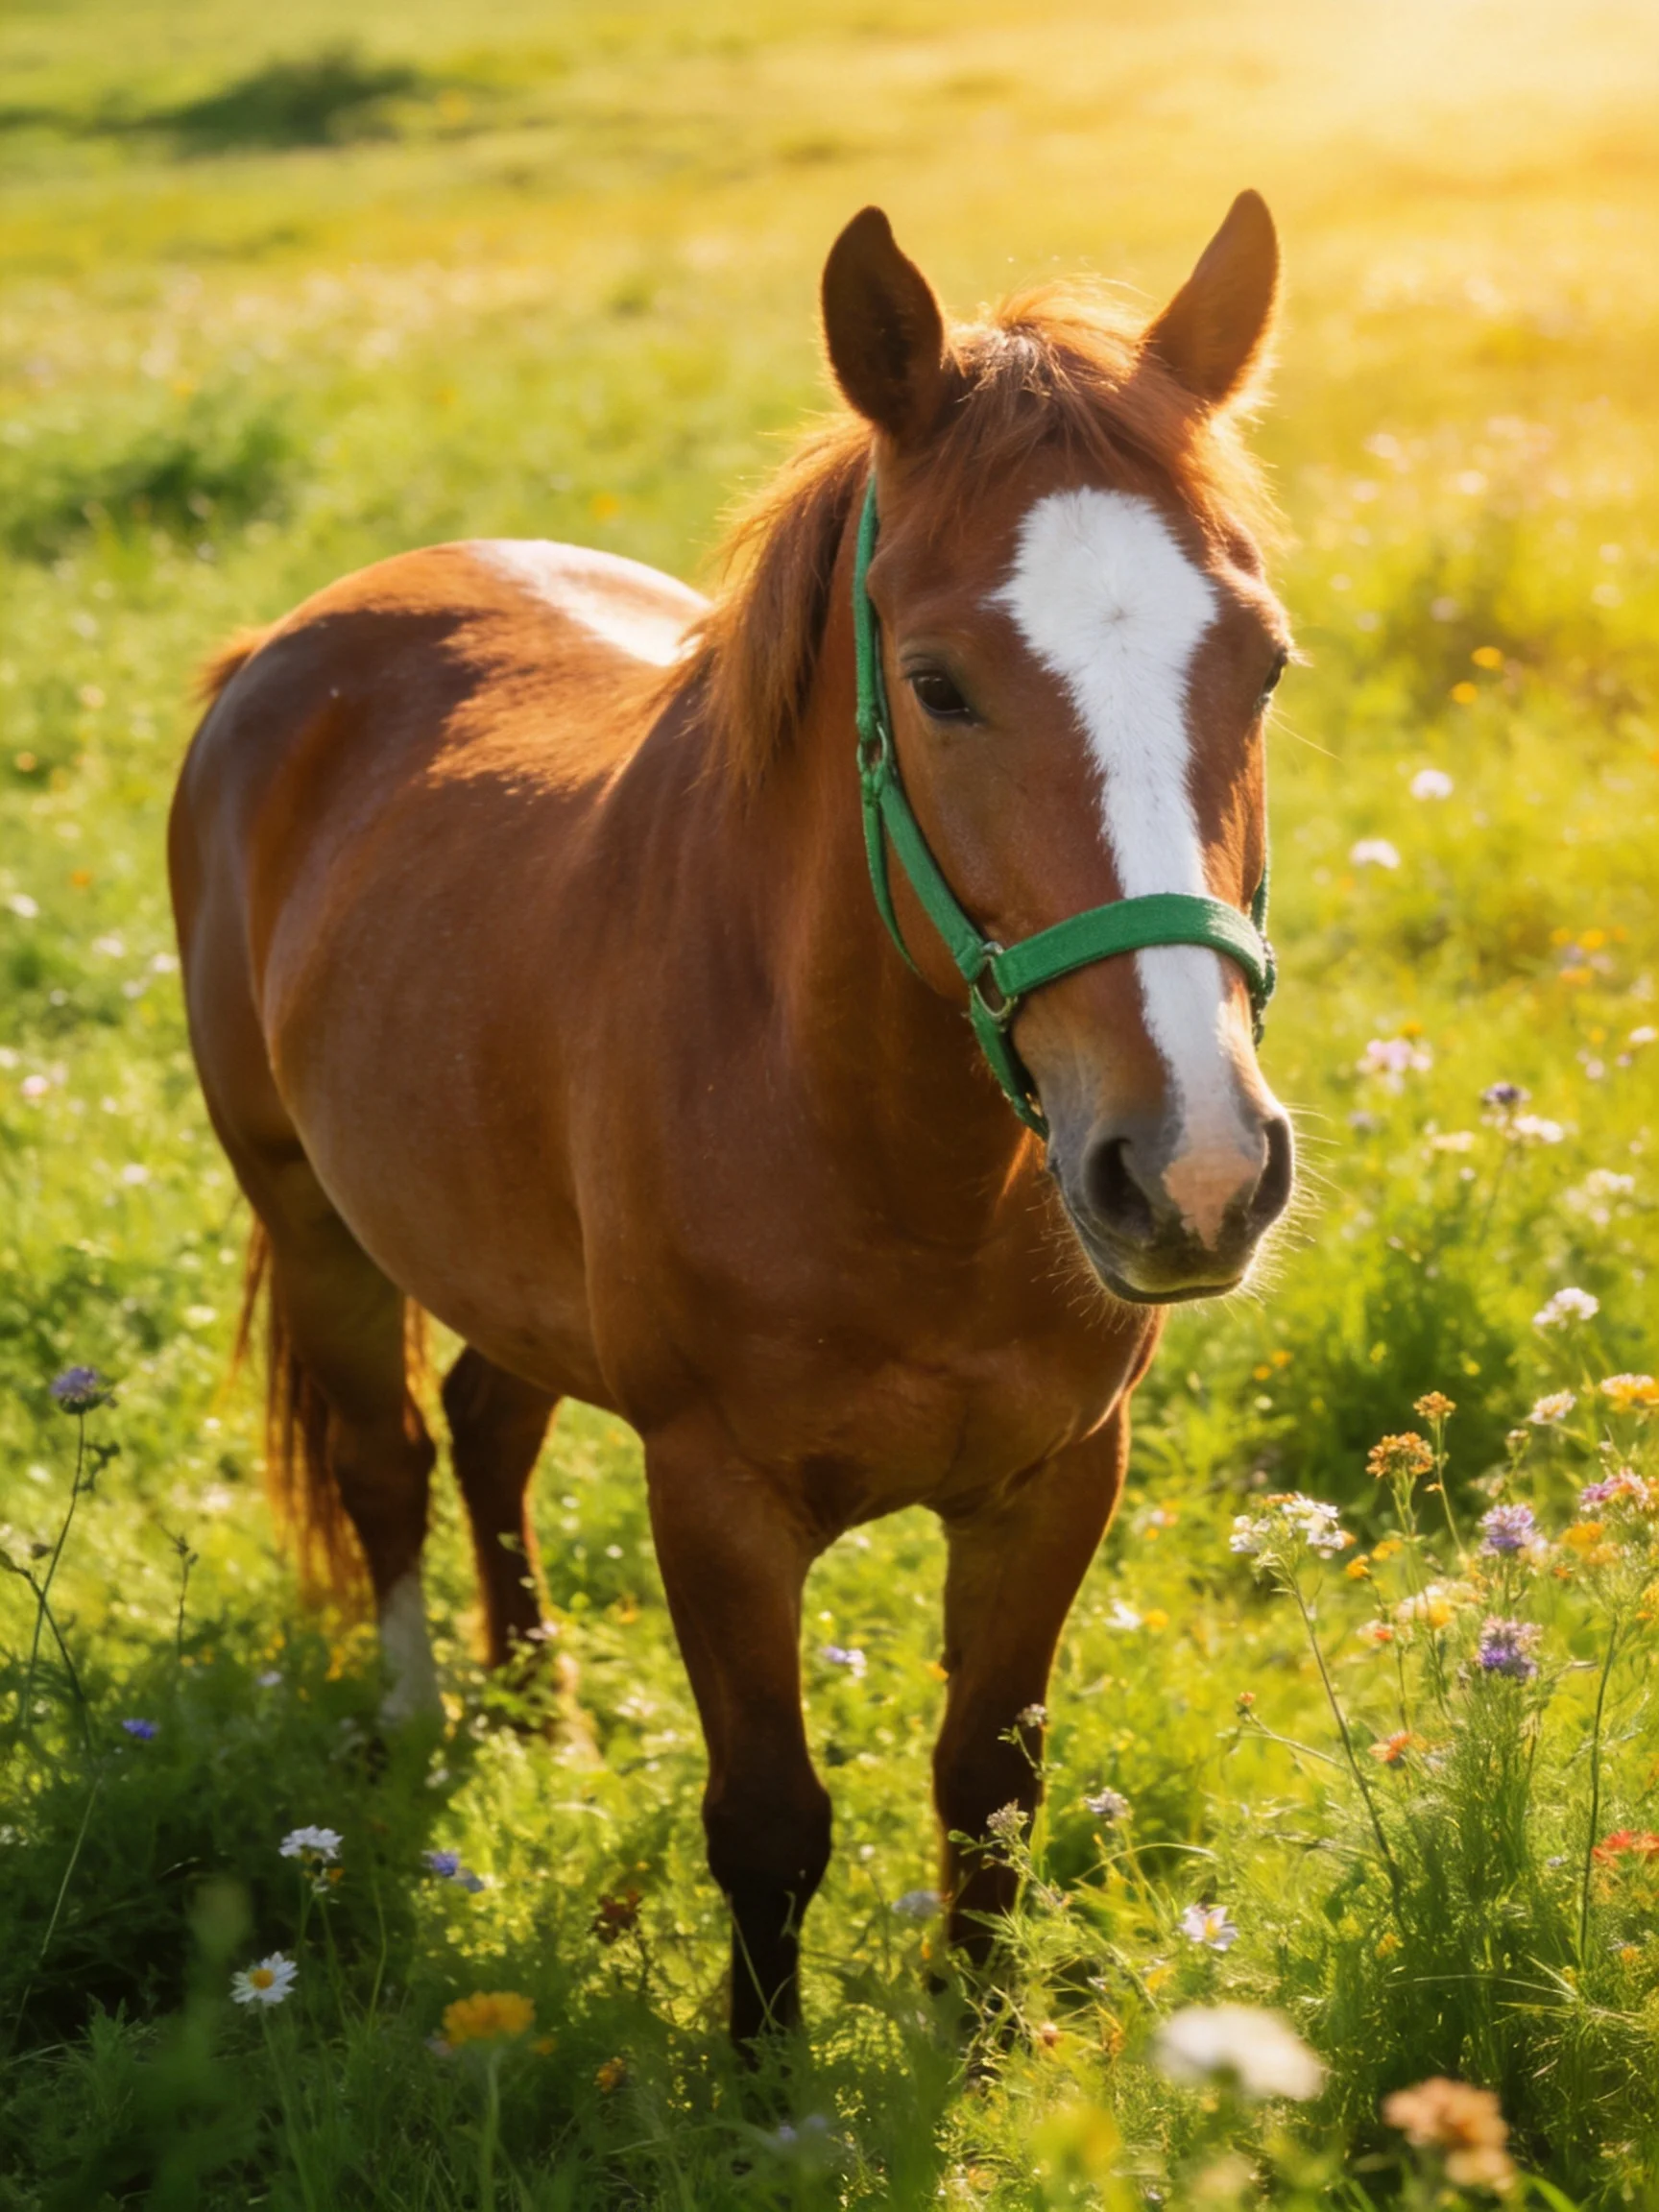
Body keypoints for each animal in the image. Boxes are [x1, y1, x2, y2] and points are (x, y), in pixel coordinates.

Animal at [169, 191, 1295, 2045]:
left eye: (1262, 665)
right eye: (938, 682)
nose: (1194, 1169)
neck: (892, 1158)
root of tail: (289, 646)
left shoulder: (1057, 1480)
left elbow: (989, 1791)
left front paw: (983, 2049)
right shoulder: (714, 1501)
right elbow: (768, 1818)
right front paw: (766, 2074)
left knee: (487, 1426)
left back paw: (537, 1702)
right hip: (306, 1211)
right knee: (388, 1460)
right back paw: (417, 1728)